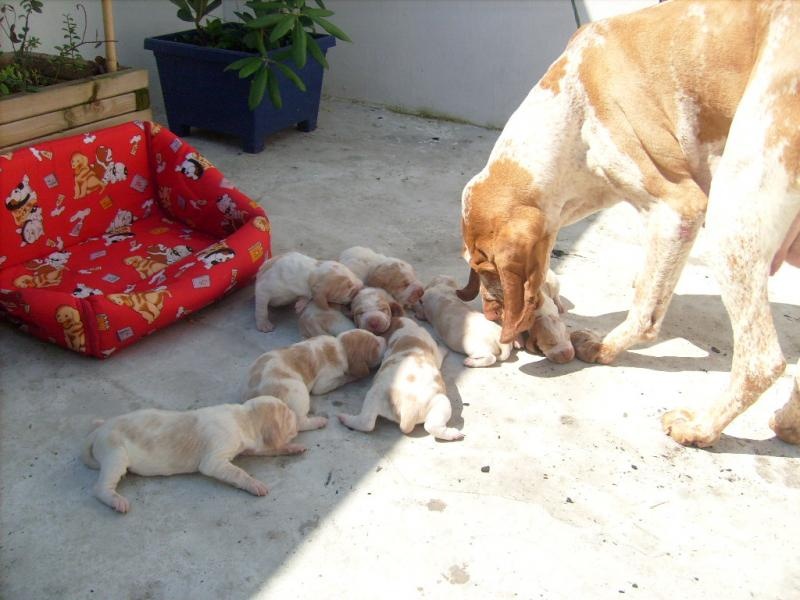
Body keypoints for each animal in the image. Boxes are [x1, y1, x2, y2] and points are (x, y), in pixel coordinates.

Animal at [81, 396, 302, 512]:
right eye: (287, 413)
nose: (296, 414)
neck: (242, 418)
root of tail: (97, 432)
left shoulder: (251, 447)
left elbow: (269, 449)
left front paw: (293, 448)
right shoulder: (215, 459)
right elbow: (238, 473)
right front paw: (255, 484)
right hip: (115, 454)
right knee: (100, 488)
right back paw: (116, 501)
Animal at [242, 328, 386, 432]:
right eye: (377, 345)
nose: (384, 338)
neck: (340, 346)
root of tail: (256, 397)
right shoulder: (323, 383)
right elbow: (343, 378)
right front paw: (352, 376)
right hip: (298, 391)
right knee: (299, 424)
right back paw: (319, 421)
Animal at [456, 0, 800, 448]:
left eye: (483, 268)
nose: (491, 314)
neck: (574, 107)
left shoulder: (677, 210)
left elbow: (644, 309)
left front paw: (606, 349)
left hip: (733, 218)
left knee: (761, 361)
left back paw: (701, 427)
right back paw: (790, 423)